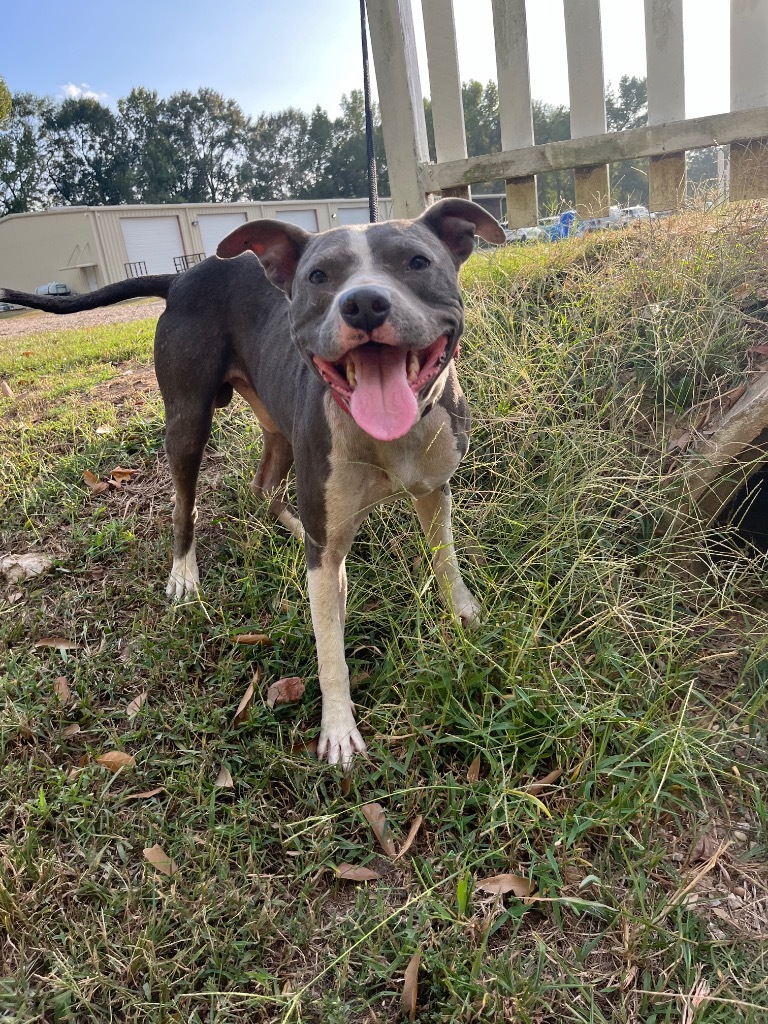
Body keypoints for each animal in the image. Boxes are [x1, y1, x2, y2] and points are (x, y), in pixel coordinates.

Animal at [3, 199, 507, 765]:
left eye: (418, 262)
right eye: (318, 276)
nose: (363, 304)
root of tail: (183, 277)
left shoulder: (433, 491)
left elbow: (445, 560)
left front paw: (465, 615)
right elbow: (329, 647)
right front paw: (338, 727)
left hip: (279, 429)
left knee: (268, 491)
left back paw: (302, 535)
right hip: (188, 420)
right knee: (187, 504)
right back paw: (185, 574)